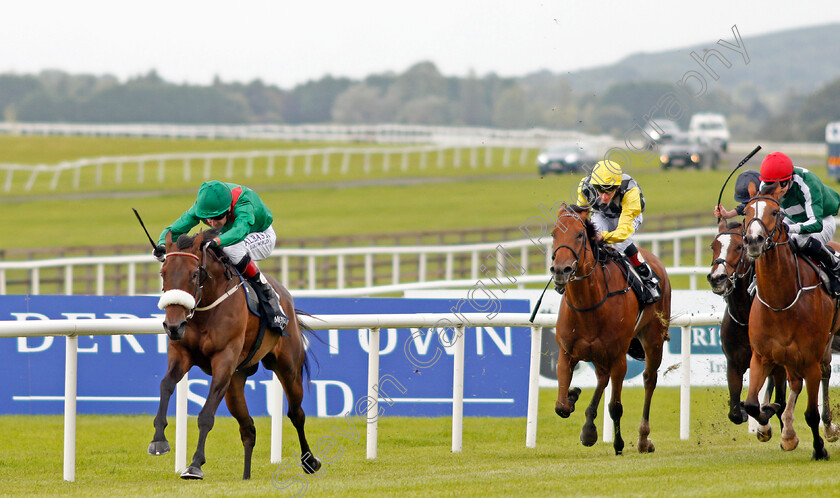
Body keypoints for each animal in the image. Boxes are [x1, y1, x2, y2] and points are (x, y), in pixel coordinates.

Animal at [151, 230, 322, 478]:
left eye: (194, 274)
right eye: (163, 273)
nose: (173, 325)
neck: (206, 310)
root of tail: (286, 296)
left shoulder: (224, 360)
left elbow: (206, 416)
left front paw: (195, 464)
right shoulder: (181, 354)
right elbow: (165, 385)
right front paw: (158, 440)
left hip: (288, 367)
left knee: (296, 414)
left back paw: (309, 461)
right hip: (235, 381)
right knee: (248, 427)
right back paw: (246, 475)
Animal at [556, 203, 672, 456]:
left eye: (579, 235)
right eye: (554, 234)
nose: (560, 270)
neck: (589, 303)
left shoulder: (619, 357)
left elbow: (615, 407)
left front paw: (618, 444)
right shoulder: (567, 353)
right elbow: (561, 406)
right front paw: (572, 396)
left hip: (653, 338)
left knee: (649, 379)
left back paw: (643, 439)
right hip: (599, 354)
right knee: (602, 377)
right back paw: (589, 426)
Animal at [708, 219, 788, 440]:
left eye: (738, 247)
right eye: (713, 246)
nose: (717, 278)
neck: (745, 317)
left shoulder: (778, 366)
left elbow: (779, 402)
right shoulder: (734, 363)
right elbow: (735, 411)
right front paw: (746, 412)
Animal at [744, 184, 836, 460]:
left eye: (775, 212)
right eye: (745, 211)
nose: (753, 240)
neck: (781, 302)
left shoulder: (810, 361)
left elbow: (811, 414)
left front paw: (819, 449)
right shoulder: (761, 357)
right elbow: (751, 404)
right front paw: (769, 417)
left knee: (824, 372)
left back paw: (827, 428)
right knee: (796, 382)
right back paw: (788, 433)